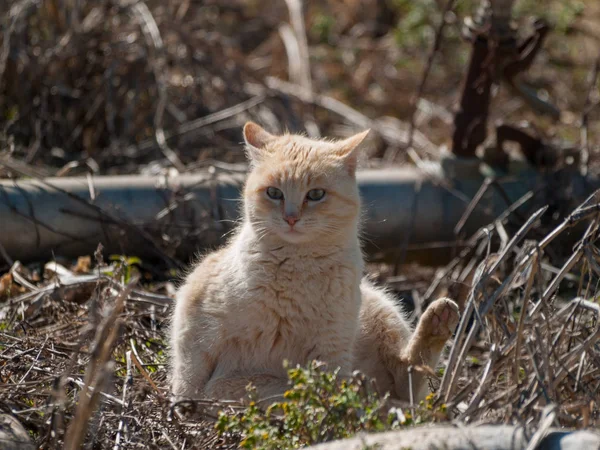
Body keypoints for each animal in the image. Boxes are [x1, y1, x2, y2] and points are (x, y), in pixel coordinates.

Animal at [169, 121, 460, 402]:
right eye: (274, 193)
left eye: (316, 194)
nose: (291, 217)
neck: (297, 266)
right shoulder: (196, 312)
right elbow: (192, 379)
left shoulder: (332, 349)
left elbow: (327, 390)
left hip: (382, 310)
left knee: (408, 385)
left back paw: (438, 321)